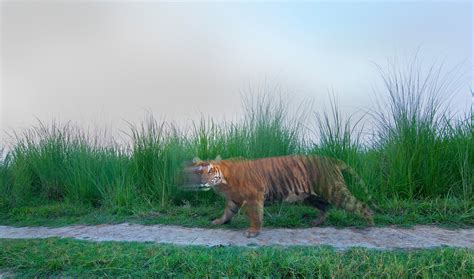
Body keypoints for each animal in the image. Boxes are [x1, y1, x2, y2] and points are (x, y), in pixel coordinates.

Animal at [185, 155, 374, 238]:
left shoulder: (254, 196)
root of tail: (332, 159)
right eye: (198, 172)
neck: (223, 181)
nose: (203, 182)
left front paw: (253, 232)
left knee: (360, 205)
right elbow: (228, 212)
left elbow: (255, 215)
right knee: (325, 206)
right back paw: (315, 222)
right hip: (311, 196)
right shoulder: (234, 199)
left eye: (210, 171)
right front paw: (218, 222)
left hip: (334, 191)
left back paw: (370, 224)